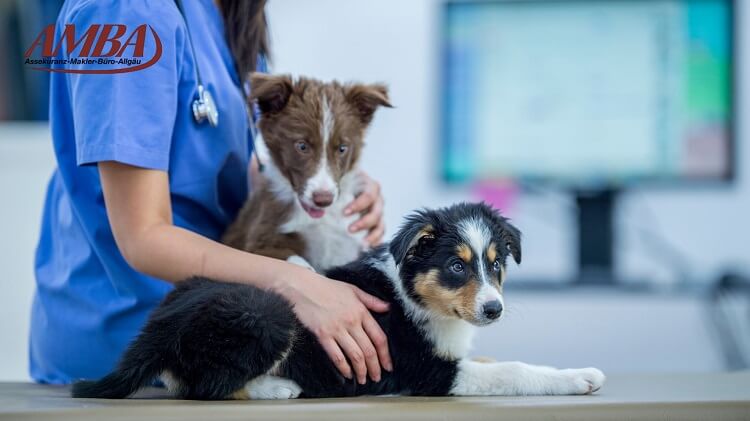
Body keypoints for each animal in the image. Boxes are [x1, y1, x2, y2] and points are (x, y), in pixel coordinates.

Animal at [73, 202, 608, 398]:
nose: (493, 309)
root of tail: (161, 324)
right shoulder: (426, 372)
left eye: (496, 264)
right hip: (266, 314)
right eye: (457, 267)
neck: (415, 296)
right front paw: (579, 376)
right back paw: (277, 387)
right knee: (201, 386)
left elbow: (492, 357)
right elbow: (511, 370)